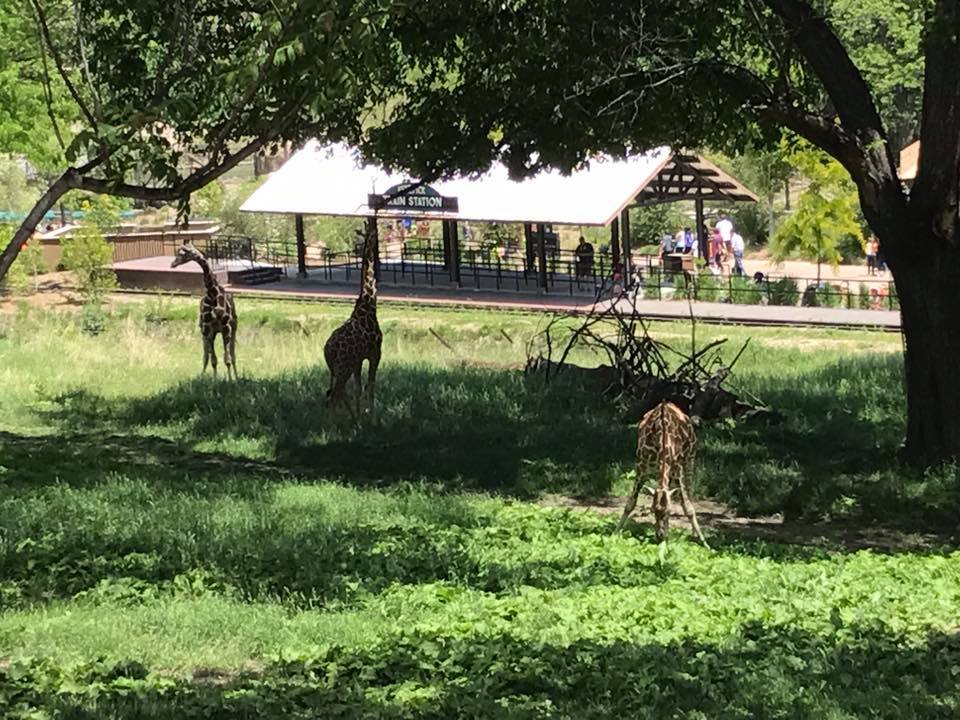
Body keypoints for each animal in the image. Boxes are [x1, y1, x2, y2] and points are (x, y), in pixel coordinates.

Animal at [171, 241, 238, 380]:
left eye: (182, 253)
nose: (173, 264)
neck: (213, 294)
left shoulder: (226, 327)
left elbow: (228, 359)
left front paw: (230, 380)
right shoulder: (208, 329)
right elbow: (213, 360)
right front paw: (215, 380)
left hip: (233, 328)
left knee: (233, 355)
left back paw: (236, 376)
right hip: (205, 332)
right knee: (206, 356)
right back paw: (203, 375)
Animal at [323, 219, 382, 415]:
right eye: (373, 233)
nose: (376, 240)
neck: (369, 303)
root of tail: (327, 350)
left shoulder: (358, 360)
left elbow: (358, 388)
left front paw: (361, 414)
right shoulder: (375, 353)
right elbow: (370, 386)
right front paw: (372, 416)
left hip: (337, 368)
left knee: (335, 394)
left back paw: (352, 418)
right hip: (343, 367)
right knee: (333, 397)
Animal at [616, 400, 709, 548]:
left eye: (669, 511)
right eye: (653, 509)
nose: (659, 536)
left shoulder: (677, 470)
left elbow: (688, 508)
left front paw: (706, 544)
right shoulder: (641, 469)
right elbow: (630, 503)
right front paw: (614, 533)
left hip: (689, 461)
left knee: (689, 493)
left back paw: (692, 534)